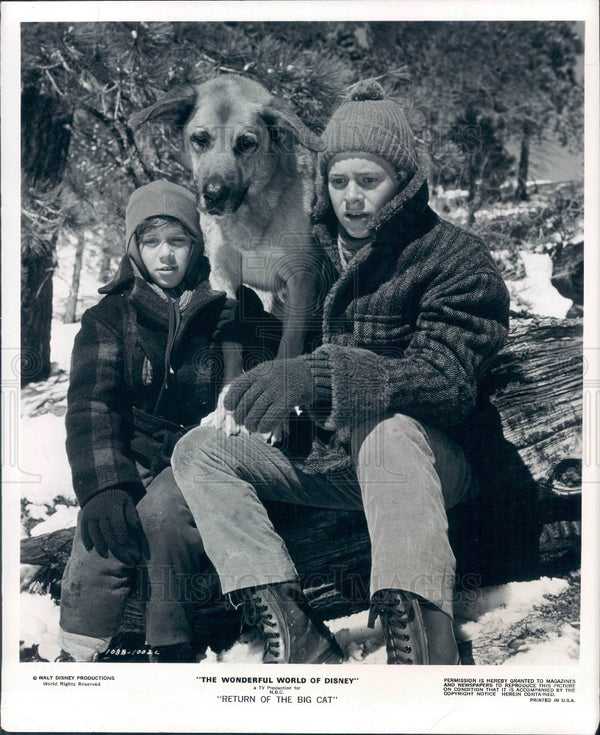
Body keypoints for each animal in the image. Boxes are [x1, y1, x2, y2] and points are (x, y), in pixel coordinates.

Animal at [131, 75, 326, 432]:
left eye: (246, 143)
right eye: (200, 139)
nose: (214, 194)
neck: (251, 217)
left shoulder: (301, 280)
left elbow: (288, 346)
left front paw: (275, 414)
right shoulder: (223, 279)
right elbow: (232, 348)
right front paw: (226, 408)